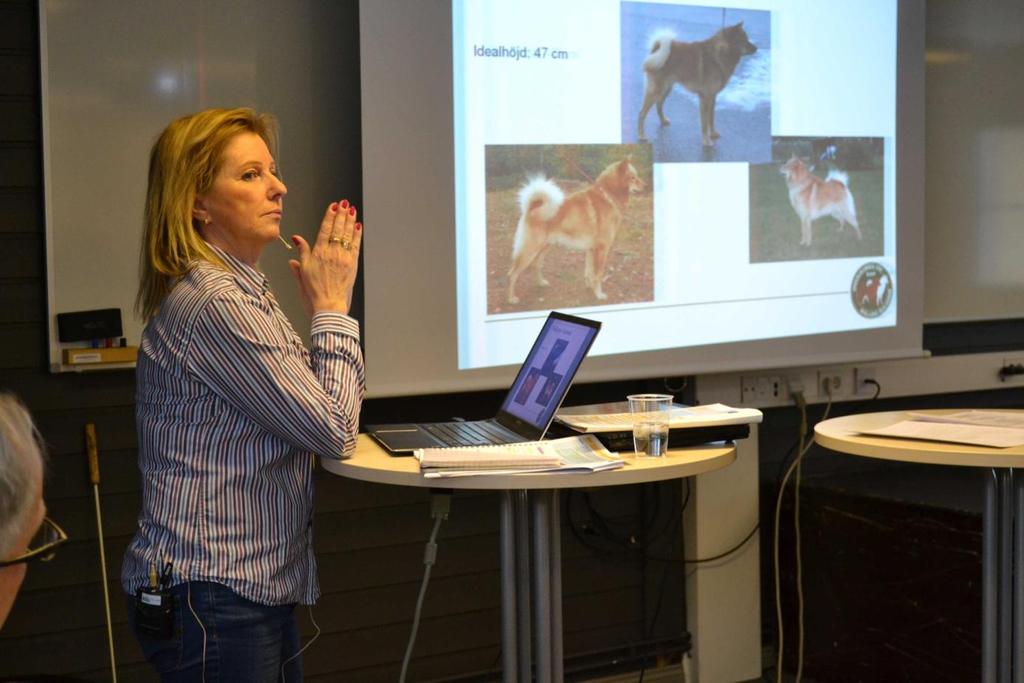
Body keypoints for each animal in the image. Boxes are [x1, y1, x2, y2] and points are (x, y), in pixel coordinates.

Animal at [507, 160, 643, 305]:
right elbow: (598, 275)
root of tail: (532, 207)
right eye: (632, 177)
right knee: (513, 273)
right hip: (530, 249)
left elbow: (589, 272)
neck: (608, 196)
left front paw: (590, 286)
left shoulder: (591, 250)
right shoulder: (601, 250)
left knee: (536, 264)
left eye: (636, 176)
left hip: (544, 247)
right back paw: (511, 298)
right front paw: (599, 294)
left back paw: (541, 283)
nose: (645, 185)